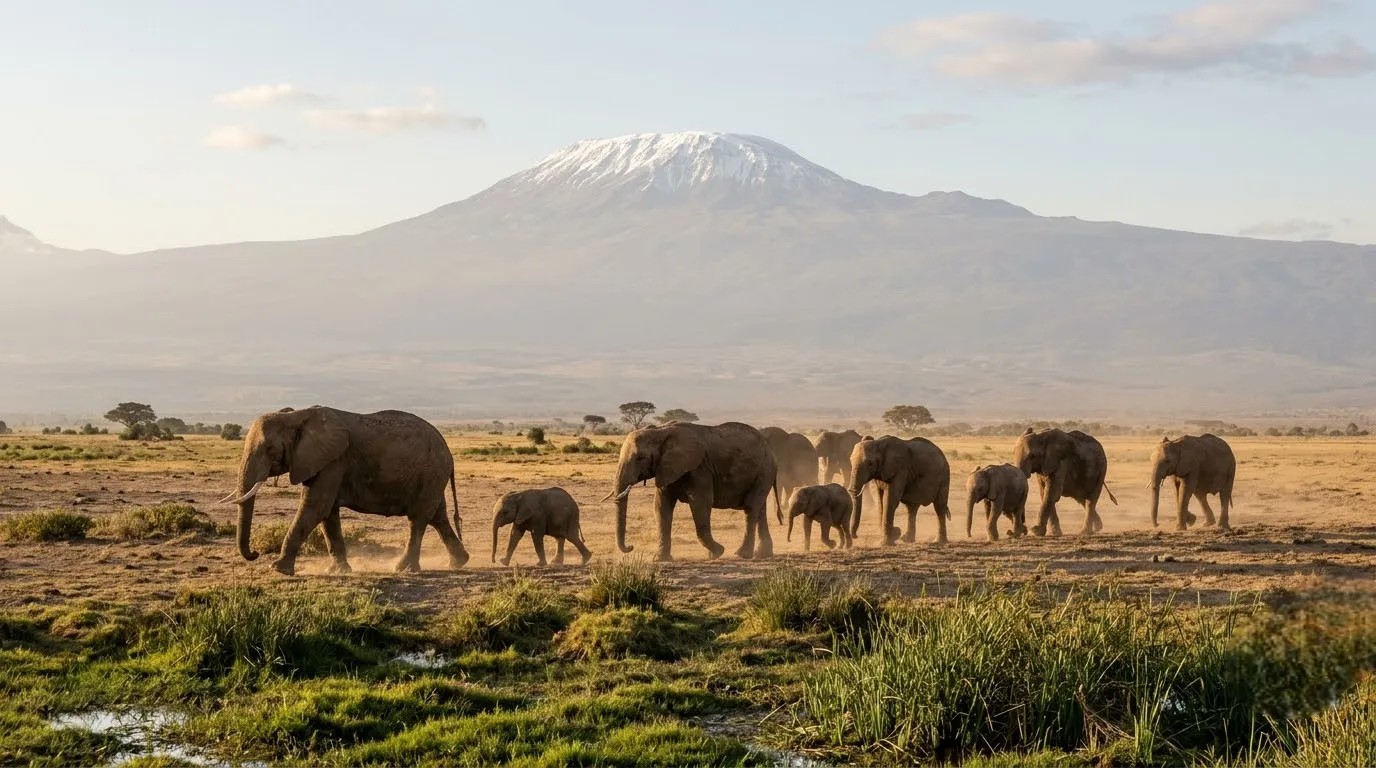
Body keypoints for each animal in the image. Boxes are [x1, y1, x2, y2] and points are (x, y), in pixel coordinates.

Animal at [220, 406, 469, 576]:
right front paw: (338, 571)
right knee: (437, 516)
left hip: (430, 474)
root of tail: (448, 452)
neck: (296, 416)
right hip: (432, 477)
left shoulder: (333, 462)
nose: (255, 554)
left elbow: (315, 508)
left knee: (418, 519)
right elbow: (327, 514)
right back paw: (458, 563)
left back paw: (404, 569)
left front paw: (279, 569)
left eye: (270, 449)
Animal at [604, 421, 778, 561]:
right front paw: (660, 559)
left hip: (765, 470)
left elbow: (700, 504)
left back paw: (742, 555)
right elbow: (661, 507)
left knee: (751, 506)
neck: (660, 431)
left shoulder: (699, 469)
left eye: (640, 458)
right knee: (760, 509)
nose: (630, 547)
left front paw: (718, 552)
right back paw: (763, 555)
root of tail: (769, 447)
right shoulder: (666, 468)